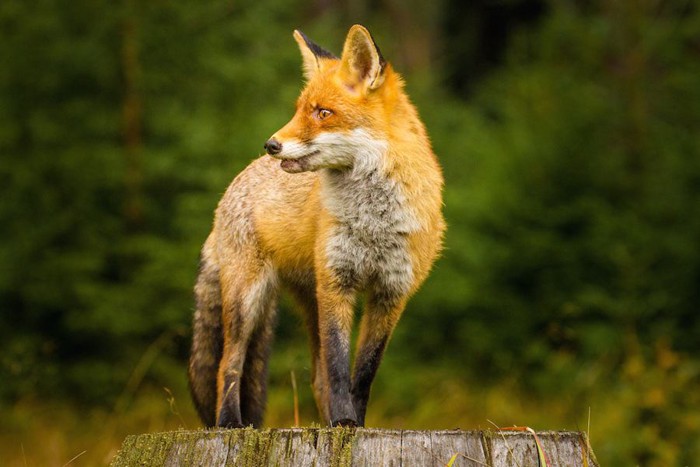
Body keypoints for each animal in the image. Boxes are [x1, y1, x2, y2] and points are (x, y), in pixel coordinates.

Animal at [189, 24, 446, 428]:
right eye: (298, 111)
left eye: (323, 112)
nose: (271, 145)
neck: (374, 220)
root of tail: (234, 184)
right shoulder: (336, 281)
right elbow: (339, 366)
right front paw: (342, 421)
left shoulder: (392, 292)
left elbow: (364, 372)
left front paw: (355, 423)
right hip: (247, 298)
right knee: (228, 365)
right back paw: (230, 422)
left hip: (306, 302)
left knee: (315, 377)